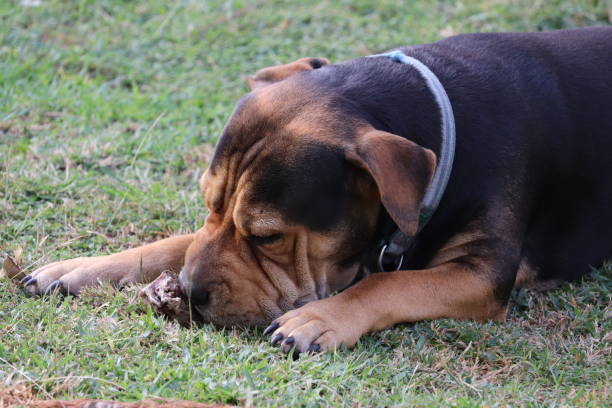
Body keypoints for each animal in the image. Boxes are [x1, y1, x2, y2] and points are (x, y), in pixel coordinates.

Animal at [21, 27, 612, 354]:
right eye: (208, 205)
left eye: (268, 237)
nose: (187, 292)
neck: (442, 127)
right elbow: (175, 242)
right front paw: (81, 268)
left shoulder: (481, 274)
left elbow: (389, 283)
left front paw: (318, 319)